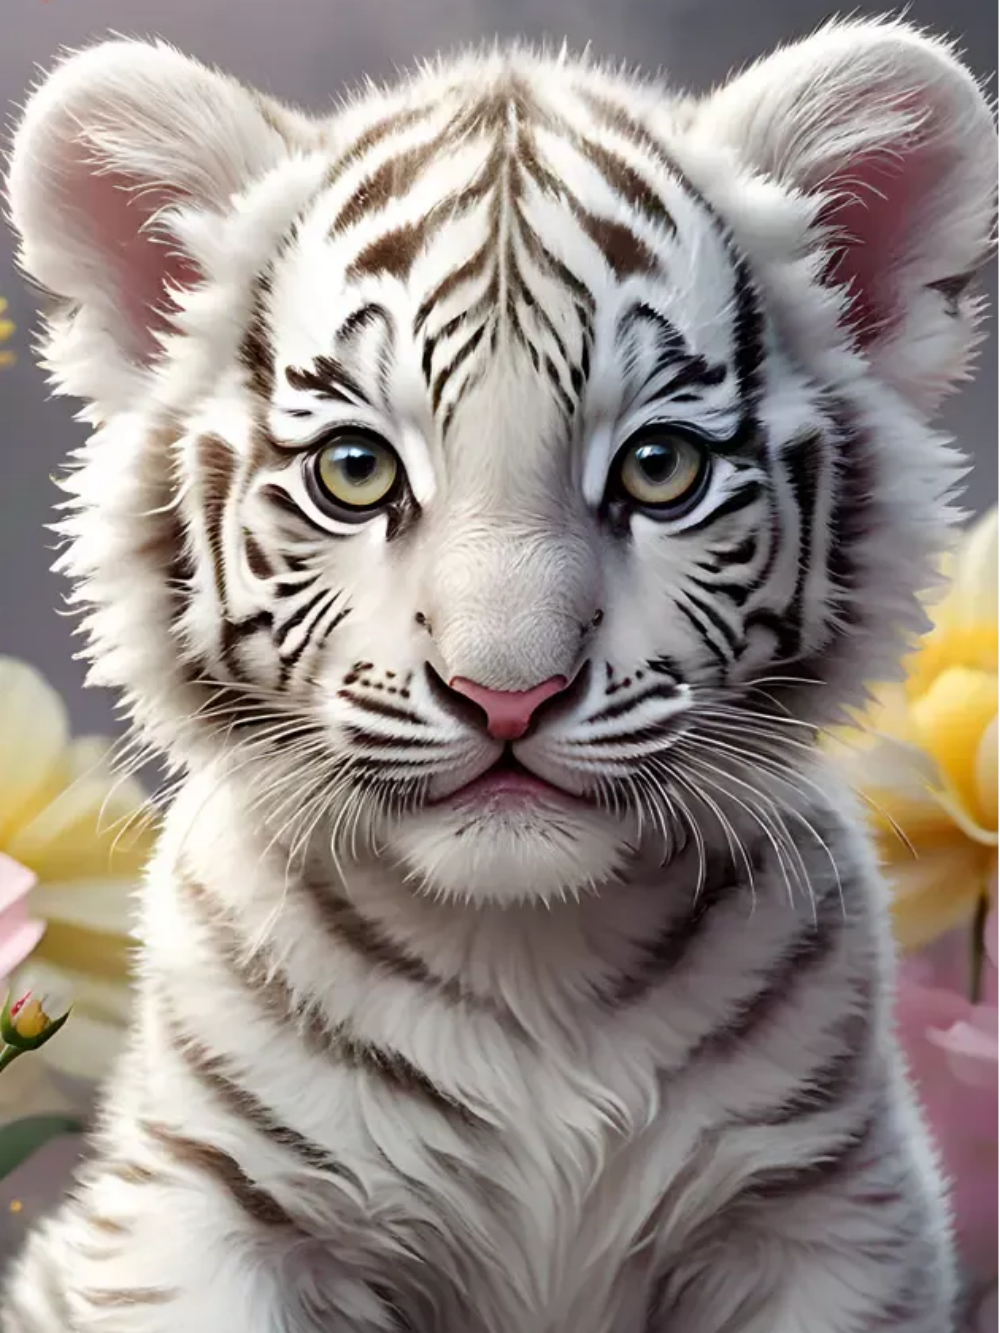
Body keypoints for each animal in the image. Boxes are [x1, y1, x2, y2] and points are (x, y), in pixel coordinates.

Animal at [3, 16, 997, 1332]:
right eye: (357, 471)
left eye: (660, 468)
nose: (507, 694)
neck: (530, 962)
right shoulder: (207, 1209)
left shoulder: (823, 1212)